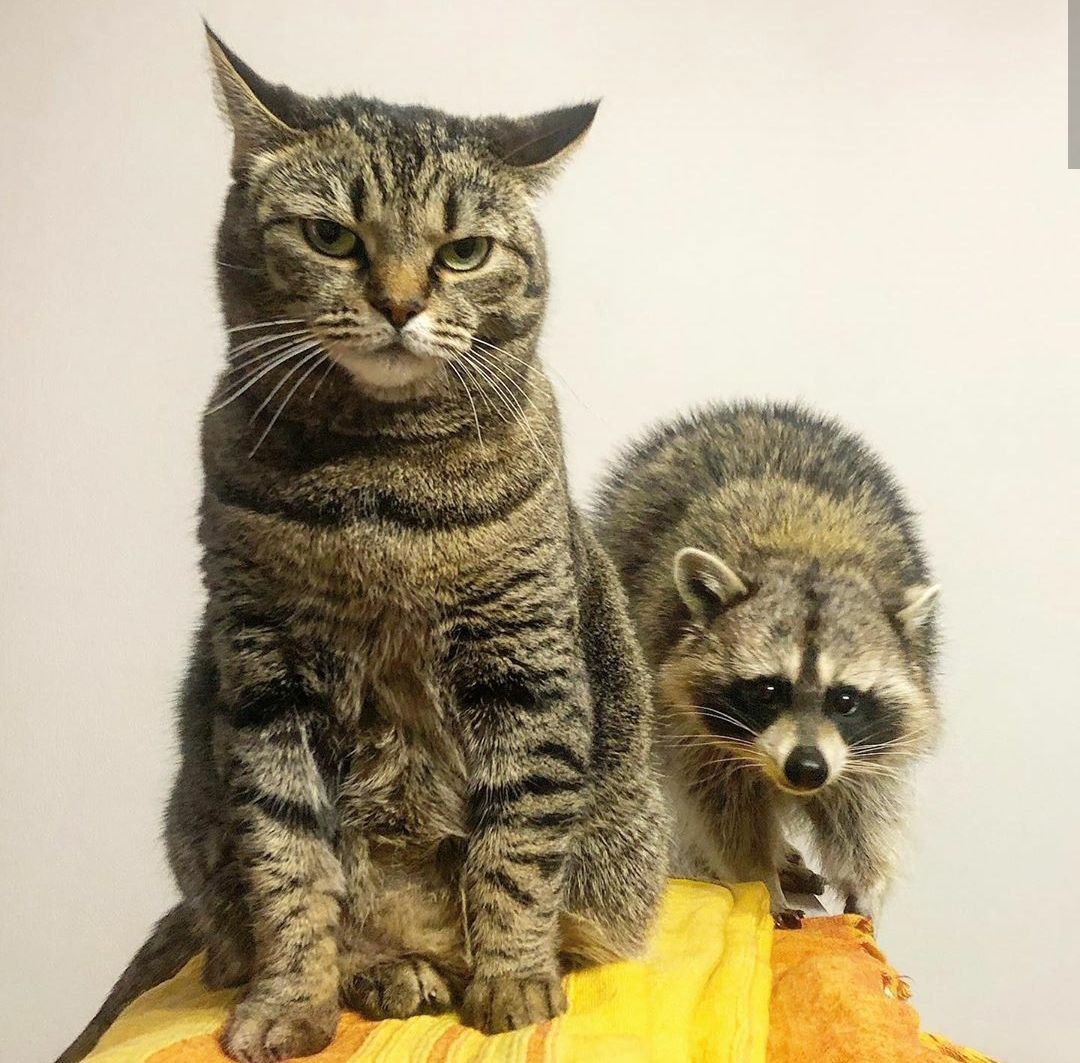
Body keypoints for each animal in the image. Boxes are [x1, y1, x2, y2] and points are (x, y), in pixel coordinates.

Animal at [594, 401, 940, 921]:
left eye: (845, 700)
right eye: (769, 690)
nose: (807, 769)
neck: (807, 551)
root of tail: (751, 409)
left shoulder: (870, 743)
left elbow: (861, 805)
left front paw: (866, 881)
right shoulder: (690, 728)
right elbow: (722, 807)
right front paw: (759, 876)